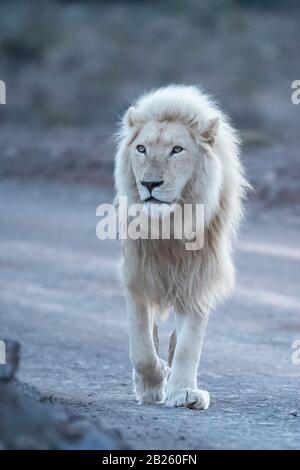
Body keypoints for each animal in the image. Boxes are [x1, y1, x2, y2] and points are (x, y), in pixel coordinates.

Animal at [113, 86, 247, 410]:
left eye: (177, 150)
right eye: (141, 149)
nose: (150, 183)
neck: (170, 226)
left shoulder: (198, 276)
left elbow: (189, 344)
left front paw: (184, 391)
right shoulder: (136, 273)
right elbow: (141, 344)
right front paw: (153, 382)